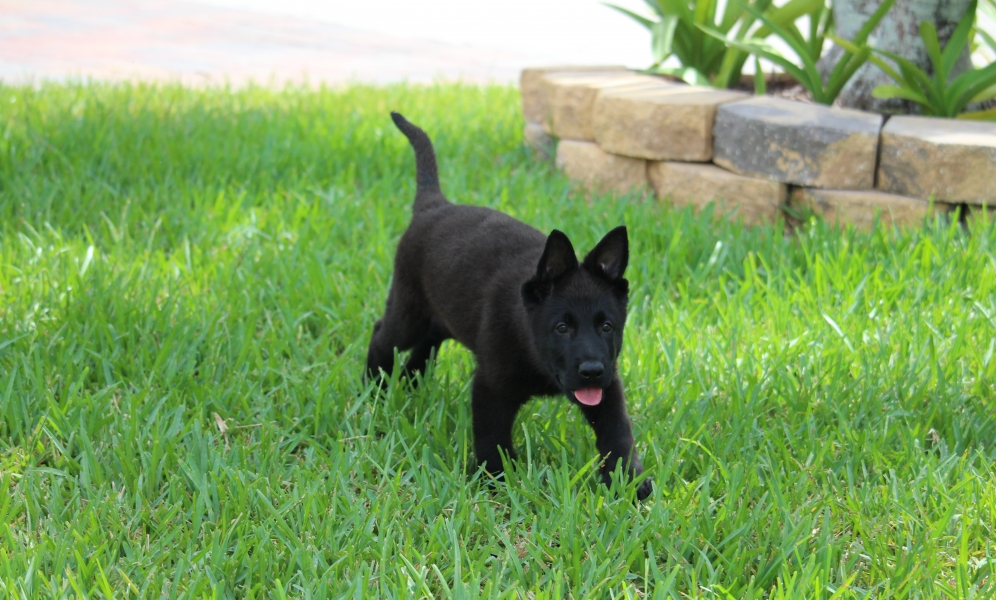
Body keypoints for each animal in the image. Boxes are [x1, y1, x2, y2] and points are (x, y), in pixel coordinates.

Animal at [368, 113, 652, 502]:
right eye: (562, 328)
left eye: (606, 327)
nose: (592, 370)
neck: (531, 343)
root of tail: (435, 205)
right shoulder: (492, 387)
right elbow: (493, 437)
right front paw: (495, 481)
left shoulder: (608, 387)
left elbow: (618, 432)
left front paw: (629, 482)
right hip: (408, 312)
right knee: (383, 334)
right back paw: (373, 390)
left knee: (428, 341)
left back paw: (411, 383)